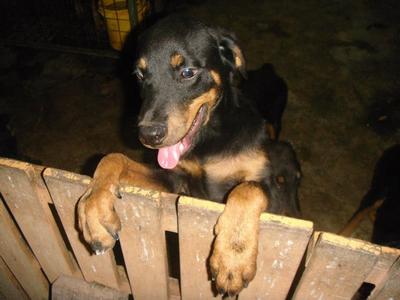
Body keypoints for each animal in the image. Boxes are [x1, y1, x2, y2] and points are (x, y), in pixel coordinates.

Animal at [78, 15, 300, 296]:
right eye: (140, 75)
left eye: (187, 73)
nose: (148, 135)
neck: (209, 139)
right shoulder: (174, 182)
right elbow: (112, 157)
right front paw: (94, 210)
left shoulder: (271, 200)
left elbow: (248, 189)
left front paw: (233, 257)